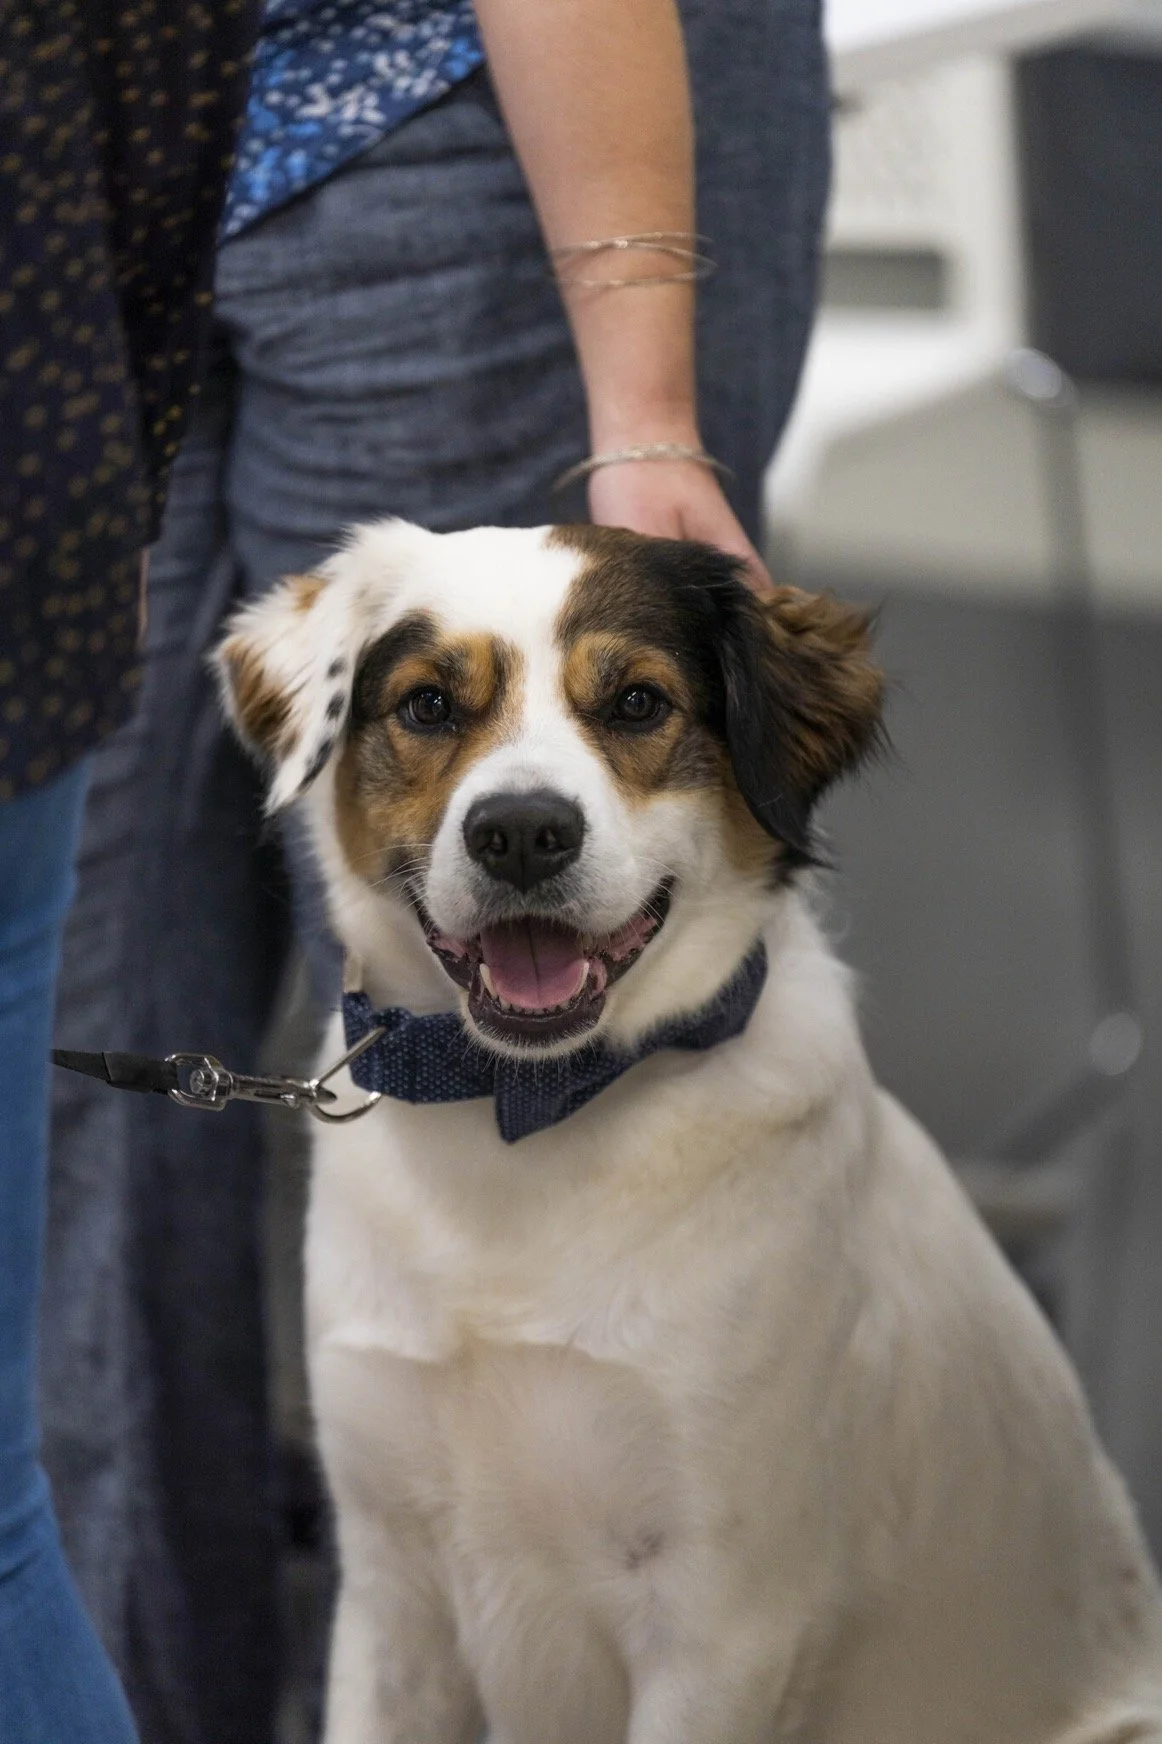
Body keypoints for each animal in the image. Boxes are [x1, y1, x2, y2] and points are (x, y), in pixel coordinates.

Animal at [216, 518, 1162, 1744]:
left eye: (635, 703)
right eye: (428, 705)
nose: (522, 832)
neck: (522, 1120)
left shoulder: (724, 1626)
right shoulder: (391, 1600)